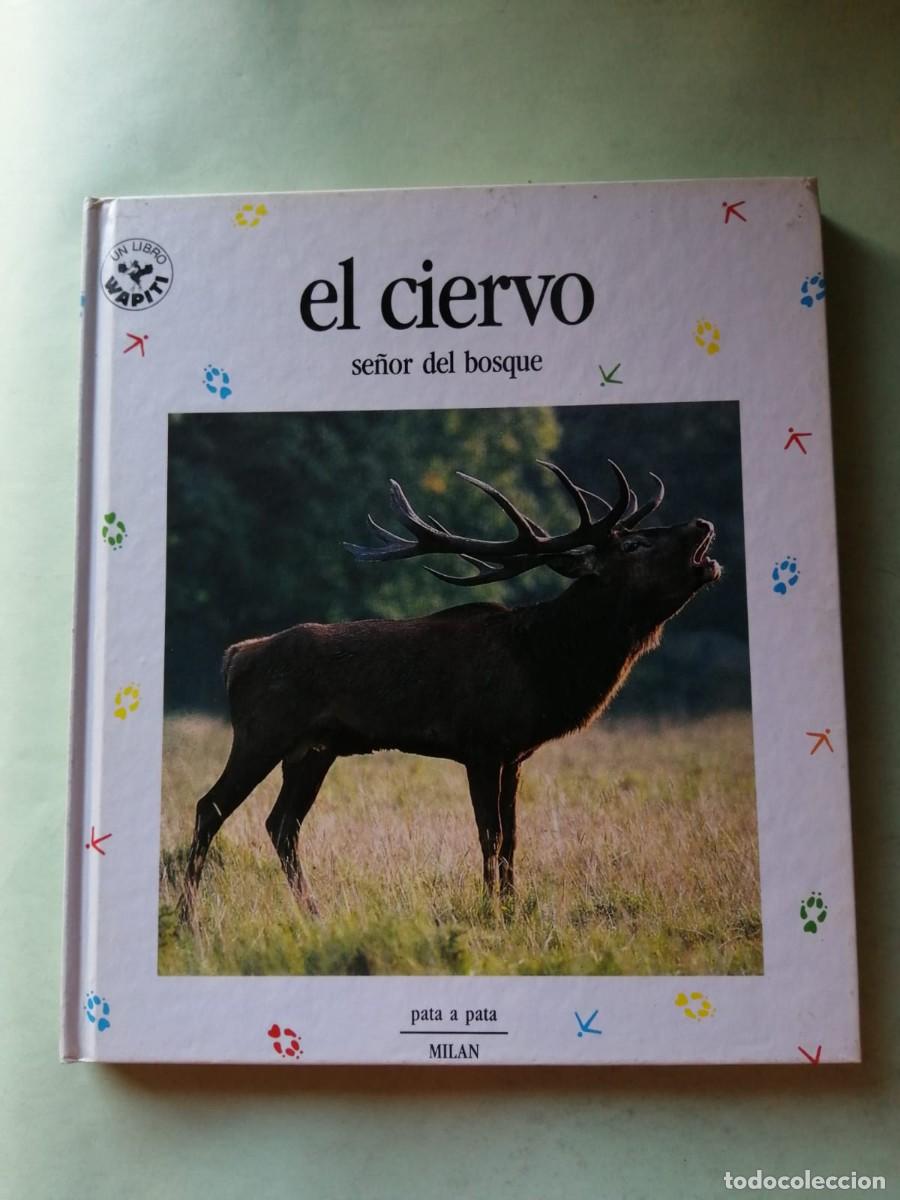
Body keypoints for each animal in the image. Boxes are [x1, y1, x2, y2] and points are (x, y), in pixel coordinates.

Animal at [178, 458, 721, 920]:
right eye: (633, 545)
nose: (702, 524)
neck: (544, 665)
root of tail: (237, 656)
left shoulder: (515, 755)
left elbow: (513, 838)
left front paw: (511, 909)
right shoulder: (480, 744)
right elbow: (490, 835)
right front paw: (492, 912)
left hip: (313, 751)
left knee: (282, 824)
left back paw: (315, 914)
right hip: (262, 733)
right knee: (211, 807)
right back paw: (189, 921)